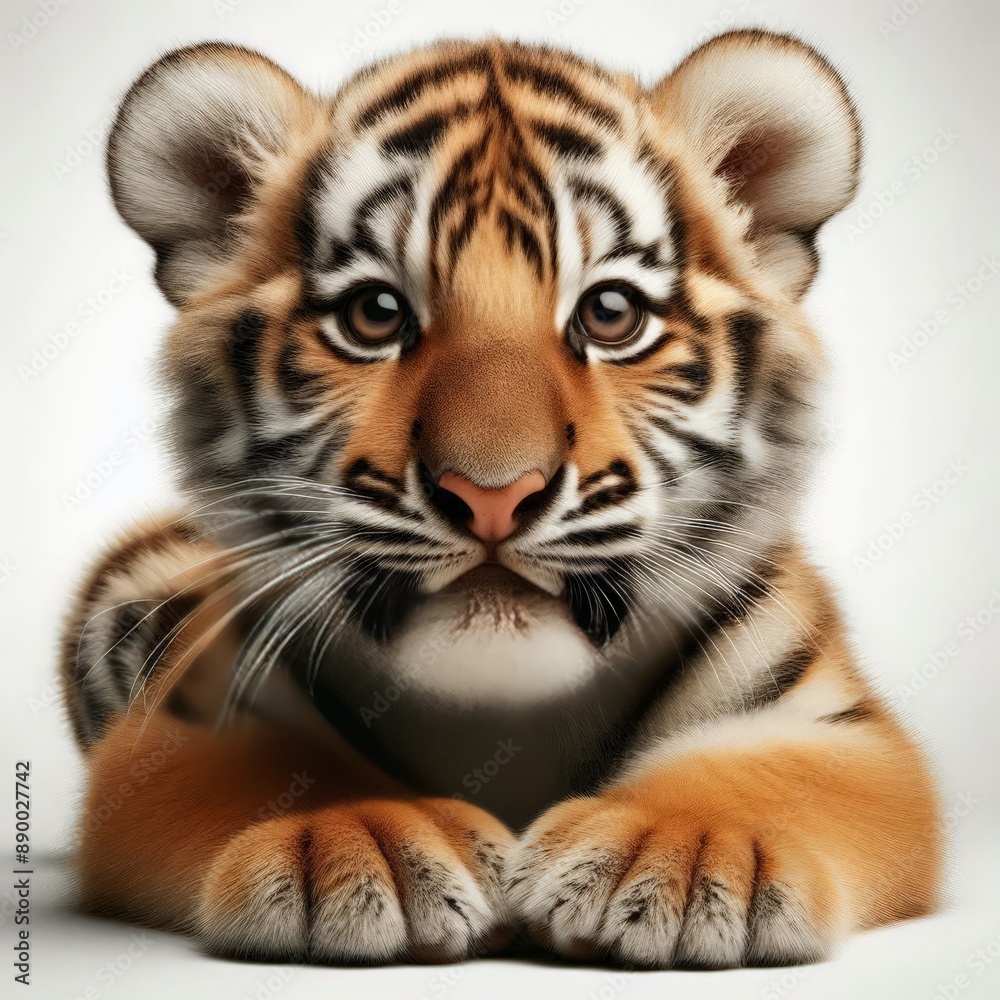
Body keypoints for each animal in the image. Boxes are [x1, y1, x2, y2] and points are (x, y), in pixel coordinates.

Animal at [60, 30, 942, 968]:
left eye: (611, 313)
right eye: (375, 314)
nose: (492, 494)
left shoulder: (835, 725)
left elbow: (761, 778)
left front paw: (680, 854)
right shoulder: (186, 723)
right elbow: (278, 775)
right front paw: (358, 839)